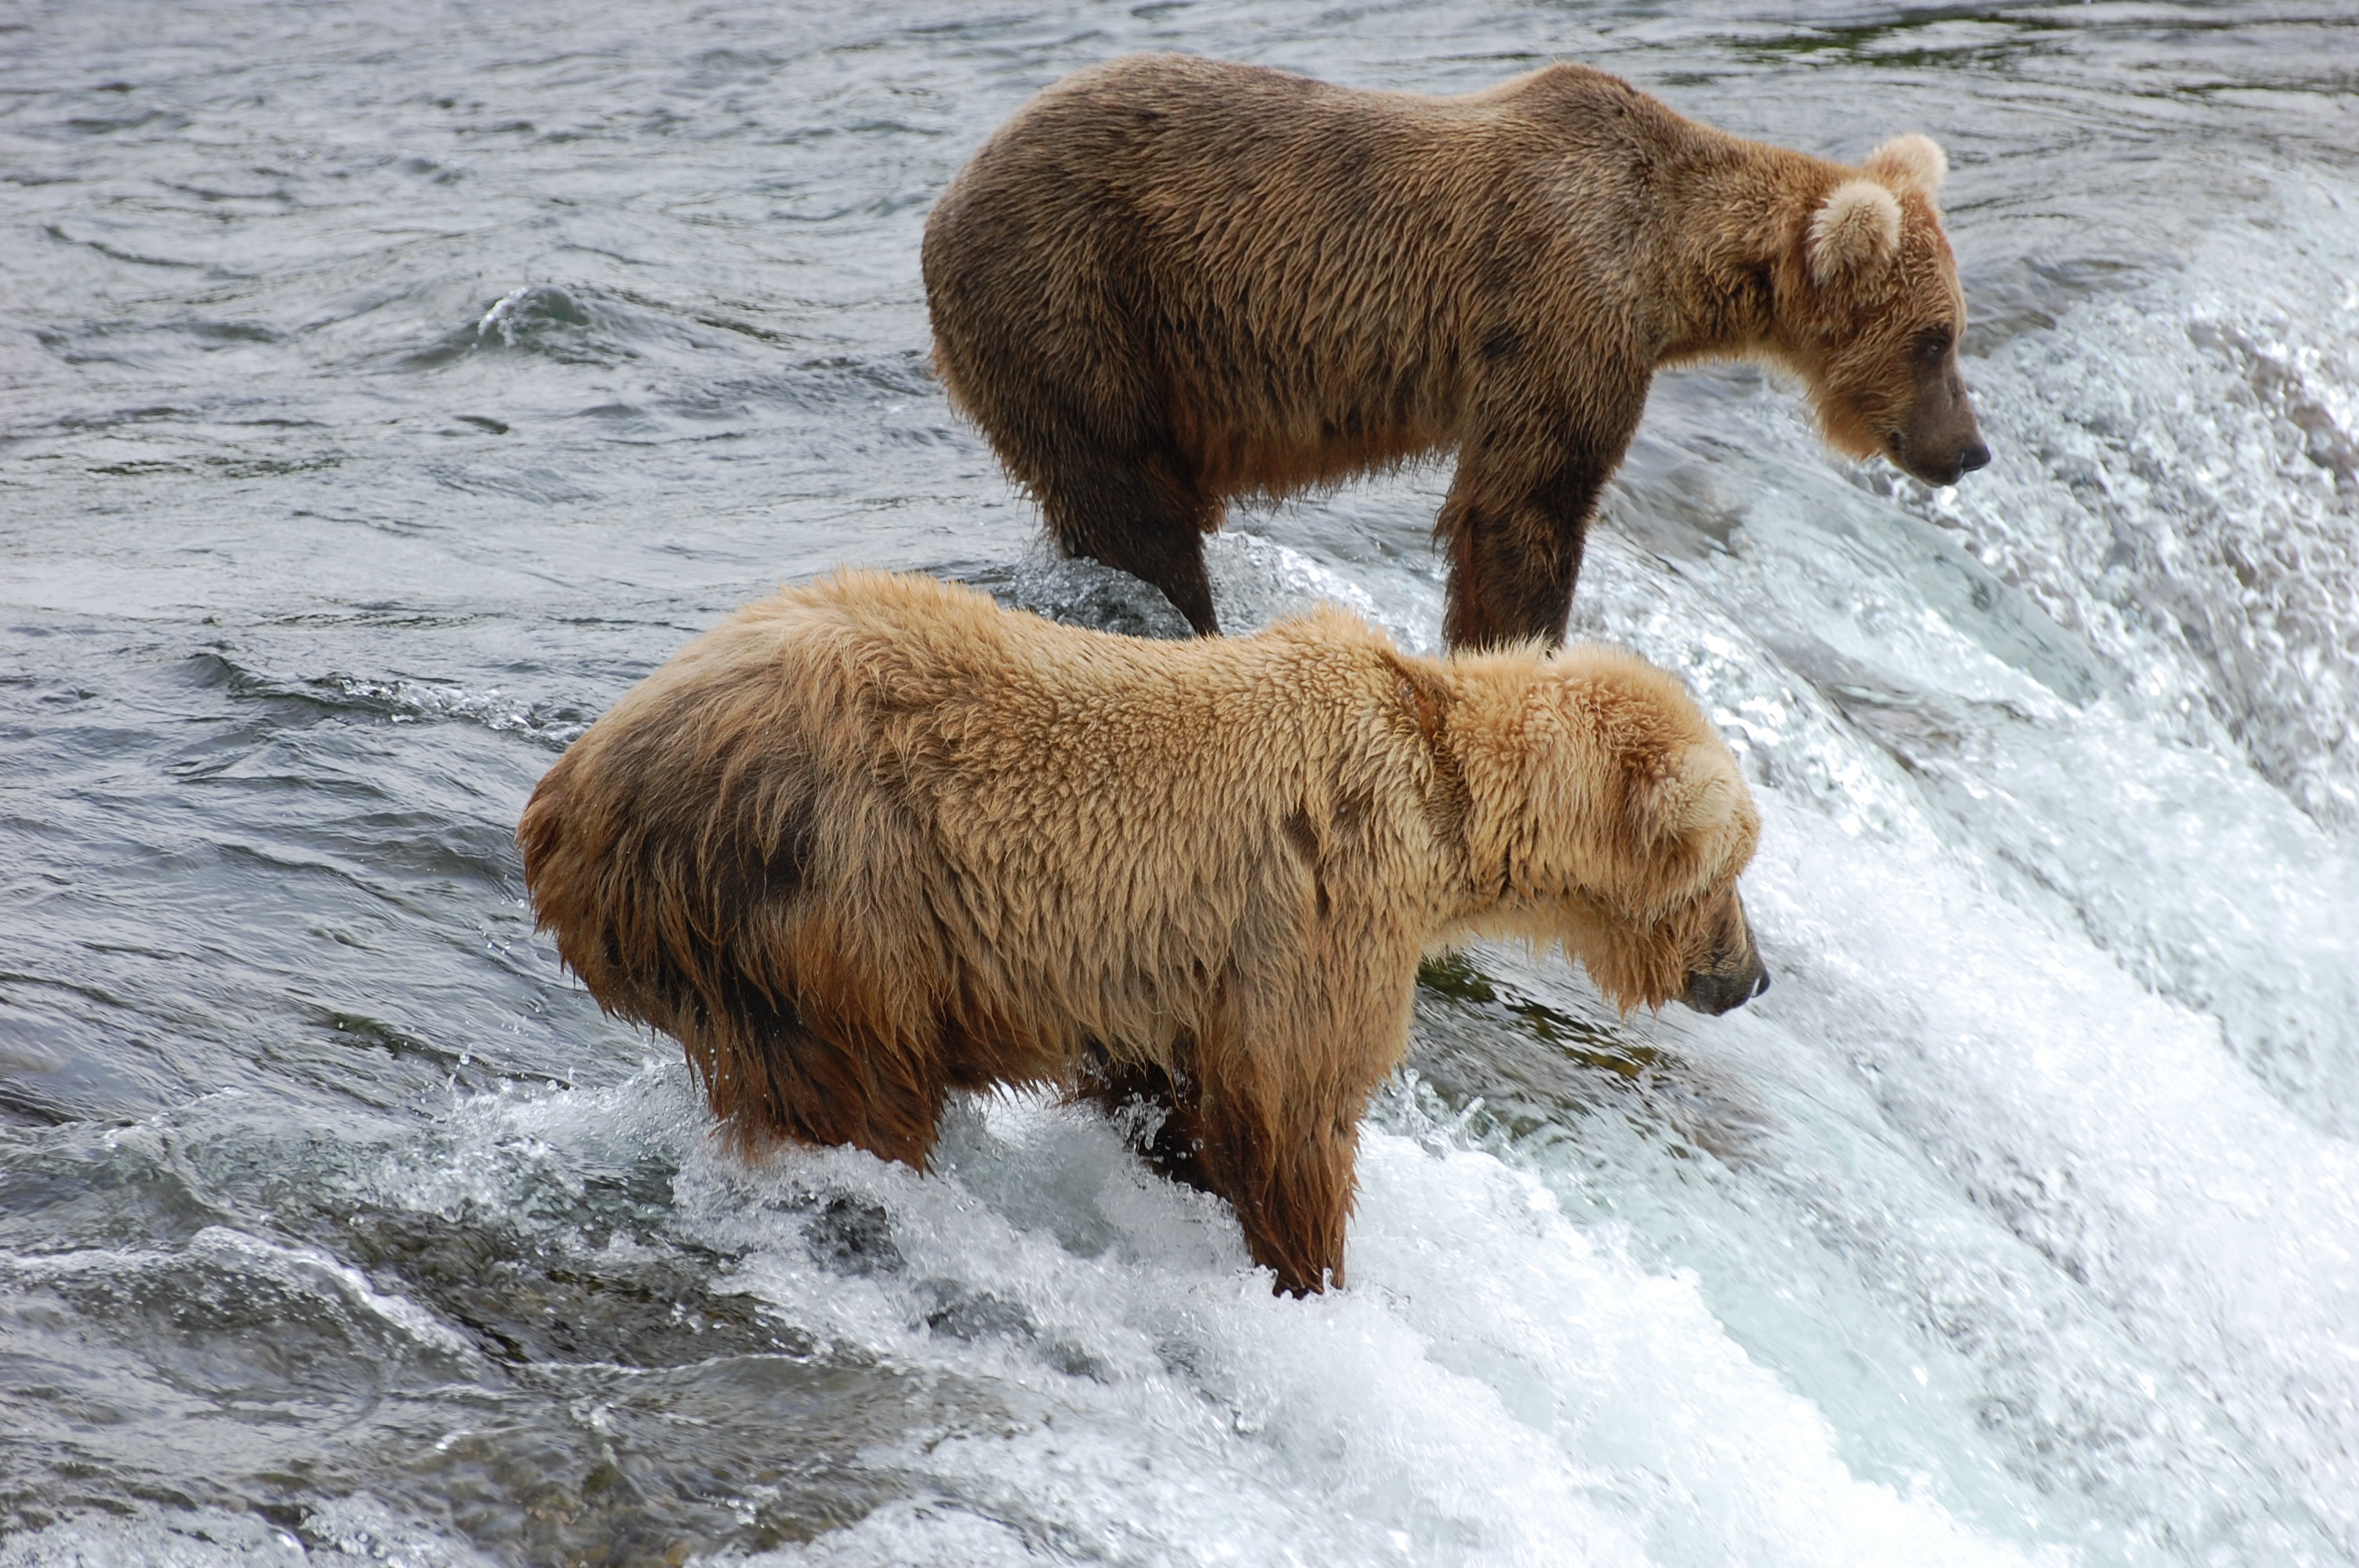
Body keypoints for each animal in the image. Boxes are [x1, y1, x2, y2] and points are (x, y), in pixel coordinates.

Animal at [519, 570, 1766, 1295]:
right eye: (1736, 869)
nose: (1751, 976)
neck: (1441, 808)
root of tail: (567, 803)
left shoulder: (1179, 969)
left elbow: (1174, 1094)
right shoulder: (1323, 907)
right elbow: (1295, 1111)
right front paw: (1309, 1270)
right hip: (828, 892)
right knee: (858, 1087)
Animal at [923, 54, 1987, 648]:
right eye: (1933, 339)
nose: (1969, 449)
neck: (1663, 255)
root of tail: (944, 203)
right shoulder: (1562, 312)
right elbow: (1527, 504)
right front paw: (1517, 647)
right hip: (1074, 299)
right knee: (1132, 506)